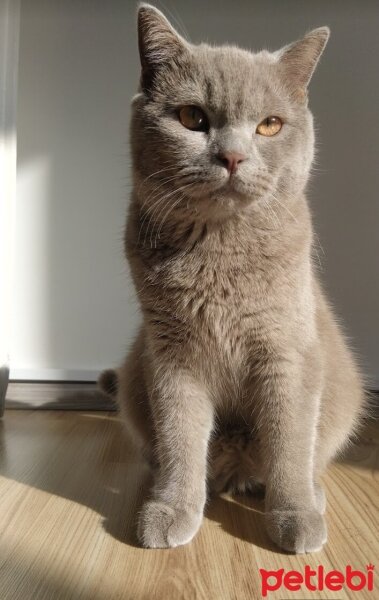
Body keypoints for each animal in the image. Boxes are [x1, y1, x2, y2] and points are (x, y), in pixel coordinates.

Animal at [98, 3, 368, 552]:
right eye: (192, 118)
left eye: (270, 125)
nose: (233, 156)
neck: (219, 250)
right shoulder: (172, 354)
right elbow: (180, 436)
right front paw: (173, 508)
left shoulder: (287, 350)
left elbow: (289, 440)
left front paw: (295, 515)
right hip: (136, 376)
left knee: (300, 455)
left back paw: (311, 495)